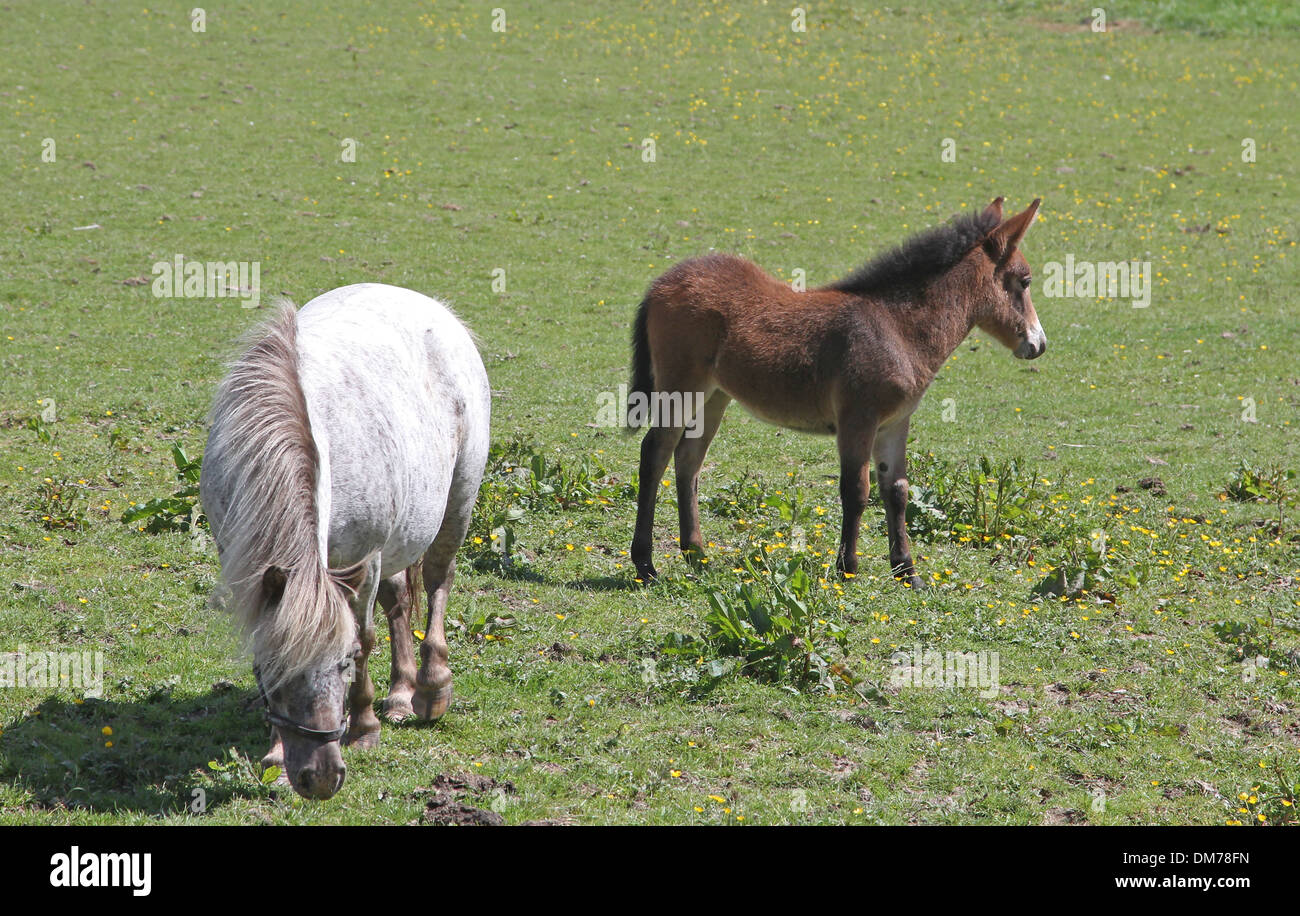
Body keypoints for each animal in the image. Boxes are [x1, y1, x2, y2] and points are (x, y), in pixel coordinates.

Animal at [200, 281, 488, 795]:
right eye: (270, 670)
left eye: (345, 660)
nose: (320, 777)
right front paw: (276, 754)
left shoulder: (364, 557)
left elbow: (367, 634)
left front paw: (365, 727)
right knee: (398, 602)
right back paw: (401, 693)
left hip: (456, 502)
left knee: (437, 580)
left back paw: (430, 688)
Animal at [626, 198, 1045, 587]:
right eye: (1024, 281)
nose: (1038, 345)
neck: (896, 328)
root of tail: (663, 282)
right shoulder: (858, 419)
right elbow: (856, 490)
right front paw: (848, 568)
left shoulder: (895, 423)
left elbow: (897, 490)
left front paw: (907, 572)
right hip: (680, 387)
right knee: (655, 452)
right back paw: (646, 565)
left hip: (714, 396)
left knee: (689, 458)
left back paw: (696, 554)